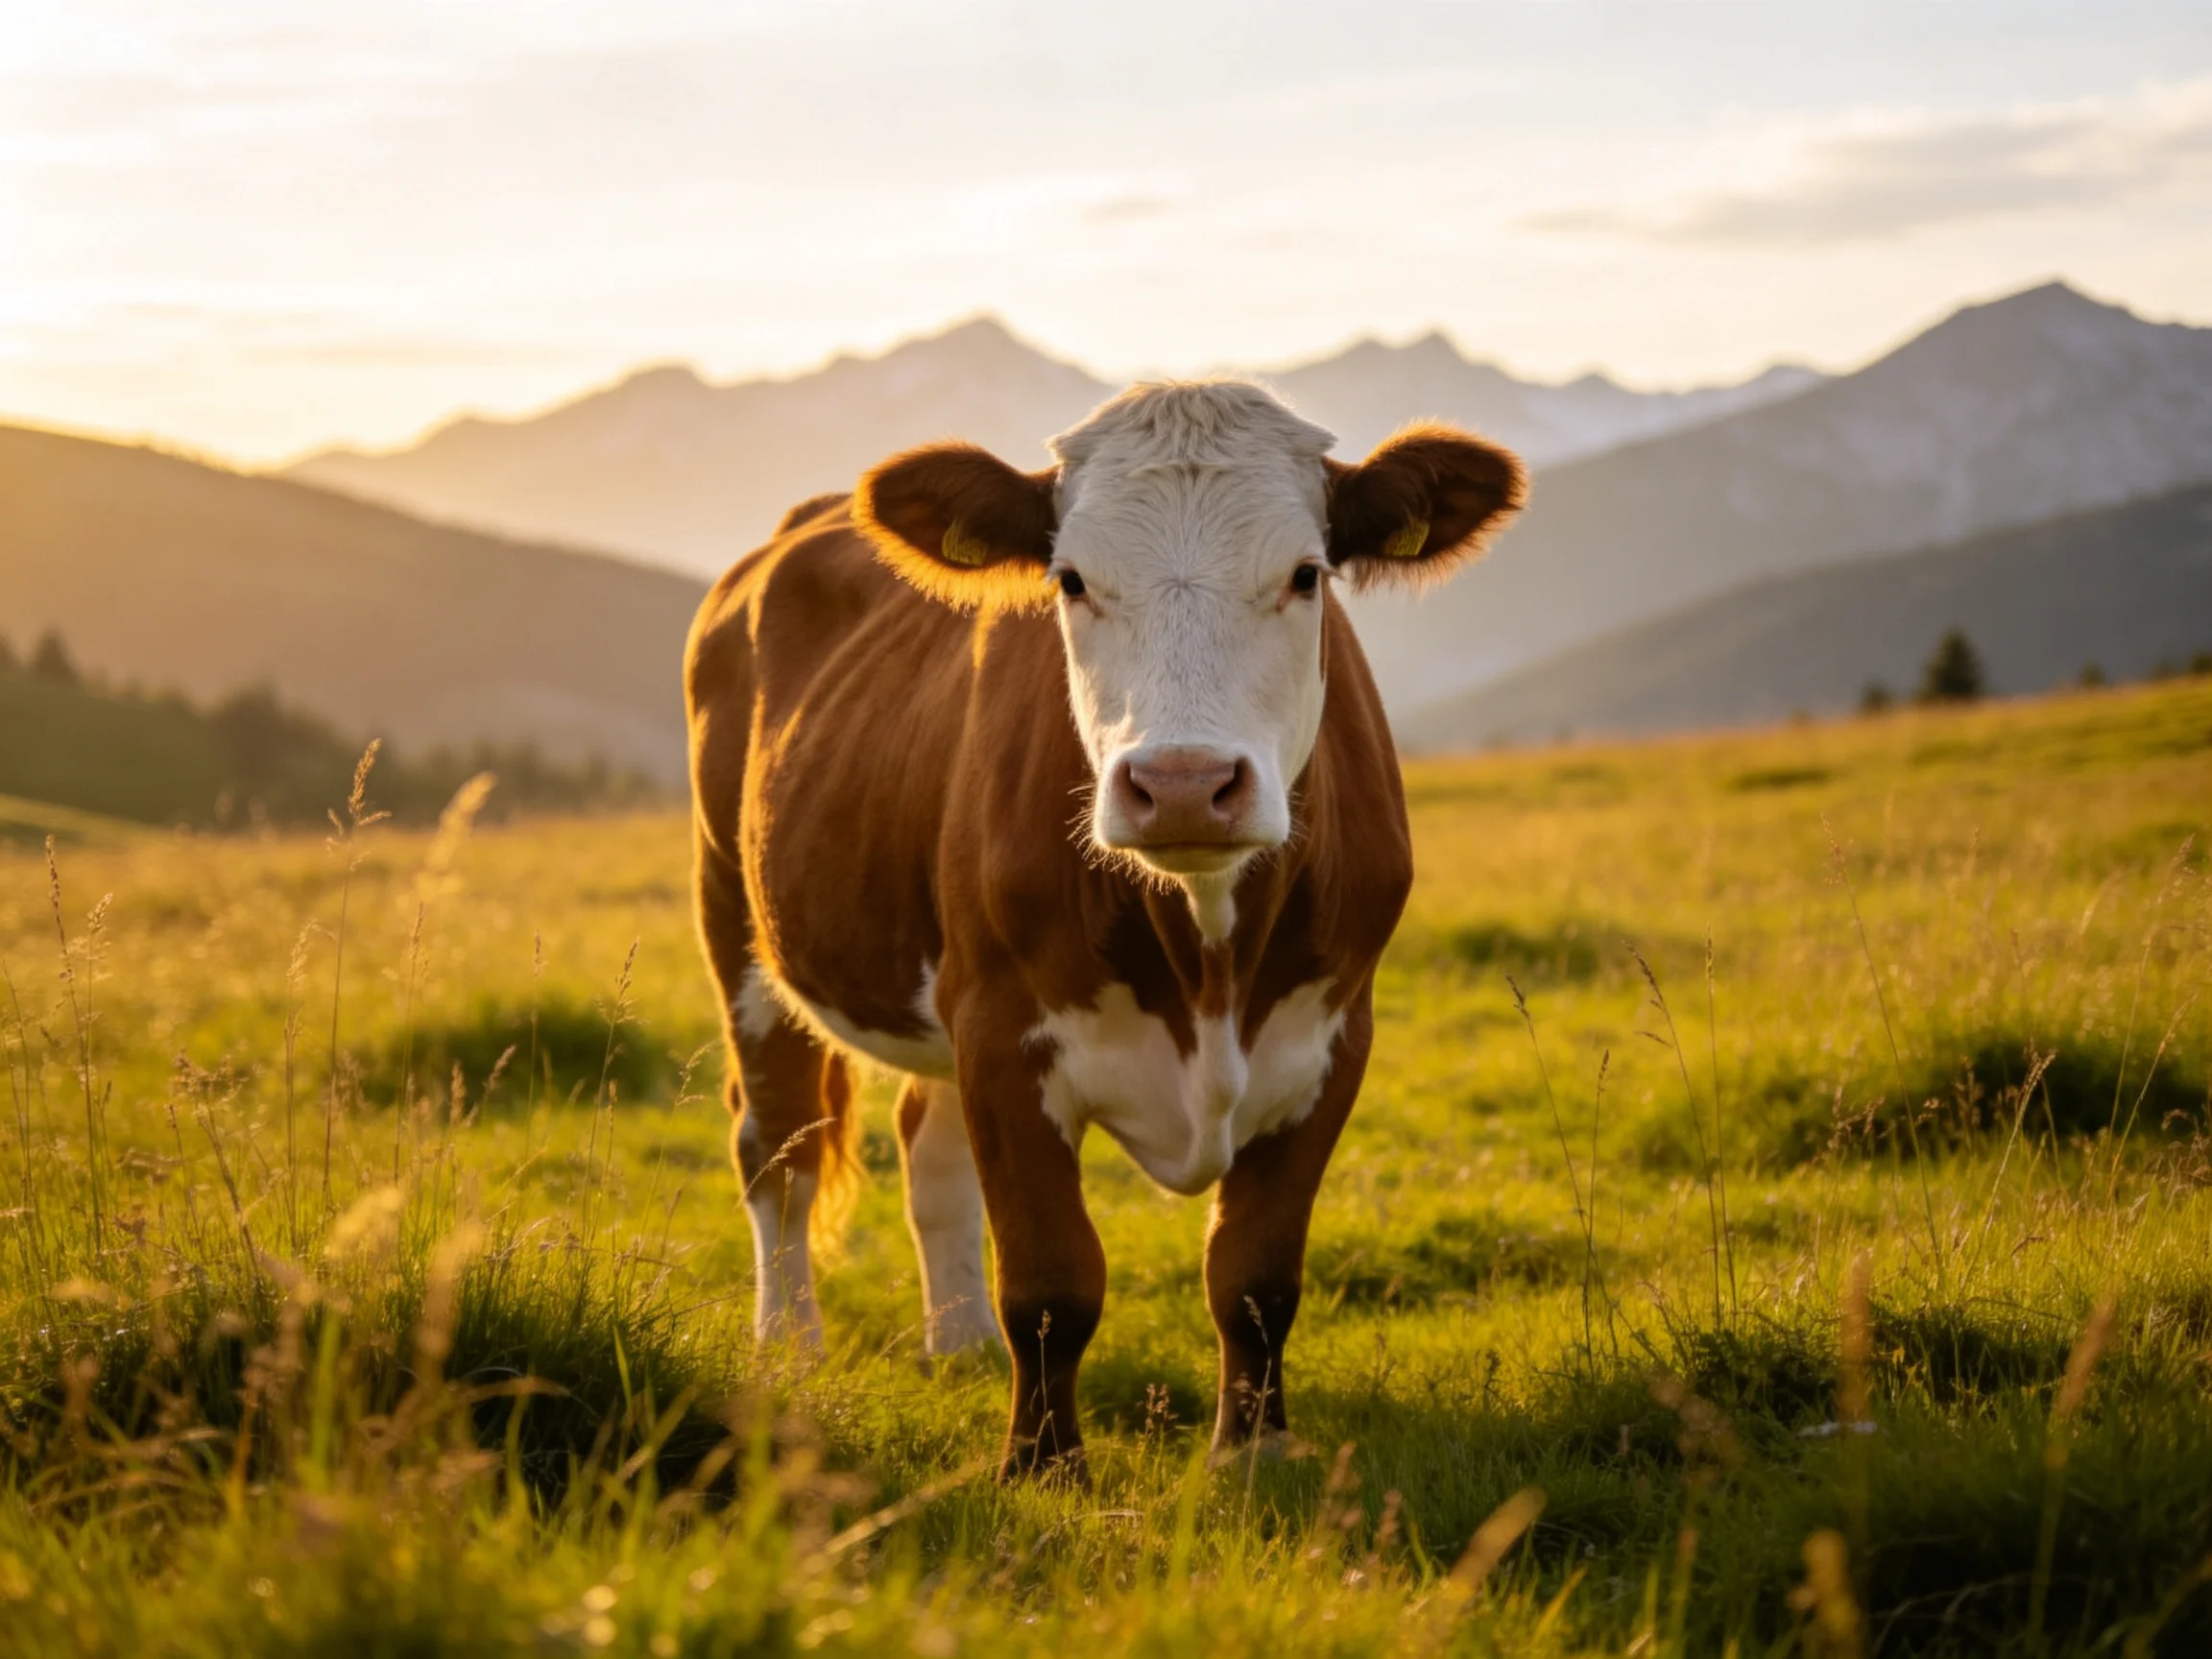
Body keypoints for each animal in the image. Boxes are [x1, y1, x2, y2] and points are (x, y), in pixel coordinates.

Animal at [685, 380, 1523, 1477]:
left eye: (1307, 575)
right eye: (1071, 580)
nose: (1183, 785)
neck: (1206, 958)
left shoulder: (1333, 1038)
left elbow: (1255, 1276)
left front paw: (1250, 1455)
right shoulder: (1005, 1031)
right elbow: (1051, 1281)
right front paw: (1043, 1469)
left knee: (925, 1142)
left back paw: (957, 1344)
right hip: (738, 918)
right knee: (778, 1143)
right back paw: (789, 1349)